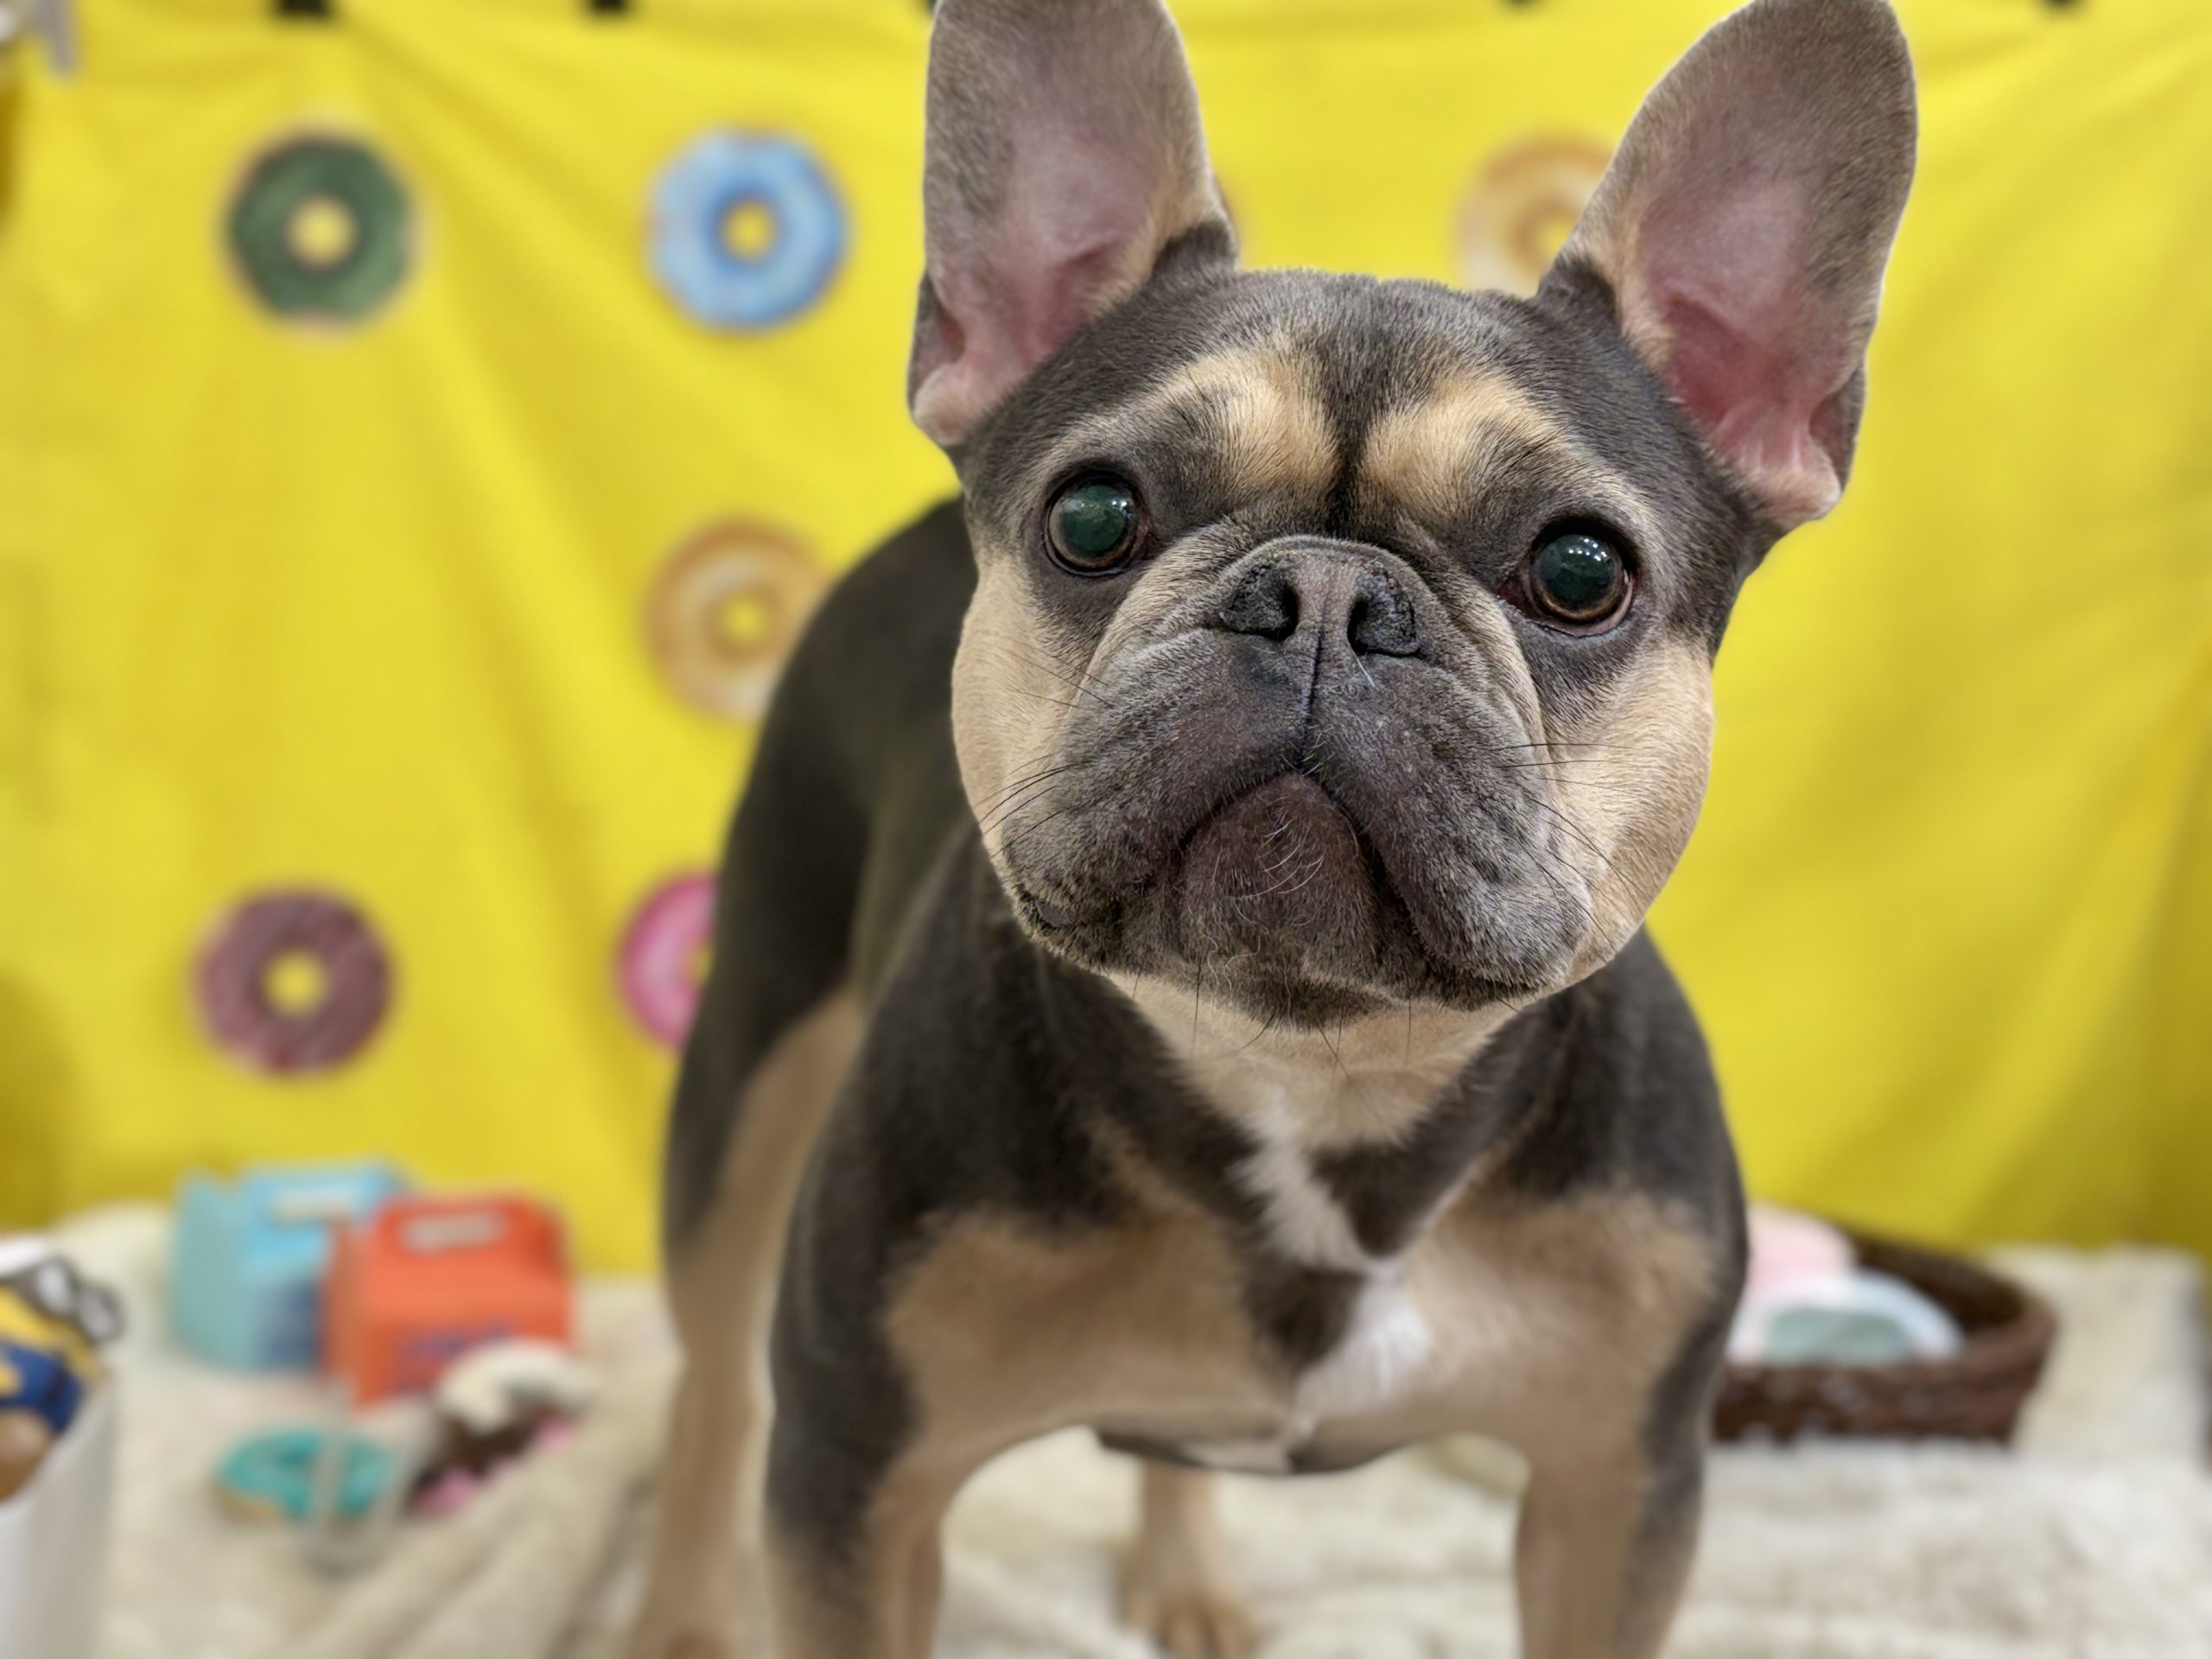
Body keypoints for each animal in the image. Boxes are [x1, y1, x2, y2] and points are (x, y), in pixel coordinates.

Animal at [626, 1, 1915, 1654]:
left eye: (1580, 569)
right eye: (1092, 516)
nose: (1323, 597)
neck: (1310, 1067)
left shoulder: (1617, 1490)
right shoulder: (859, 1479)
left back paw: (1189, 1579)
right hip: (752, 1053)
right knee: (710, 1379)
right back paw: (679, 1609)